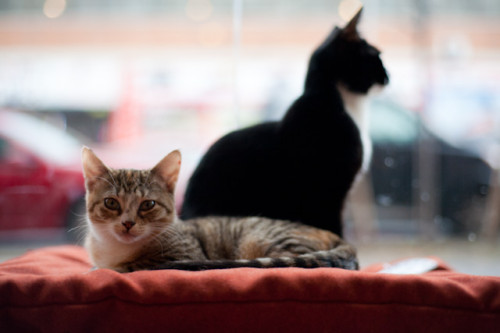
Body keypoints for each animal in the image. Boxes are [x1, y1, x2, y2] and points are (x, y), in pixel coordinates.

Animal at [82, 148, 358, 272]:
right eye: (111, 203)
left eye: (148, 204)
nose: (127, 224)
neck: (115, 250)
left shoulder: (183, 255)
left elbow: (132, 266)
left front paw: (109, 268)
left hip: (268, 242)